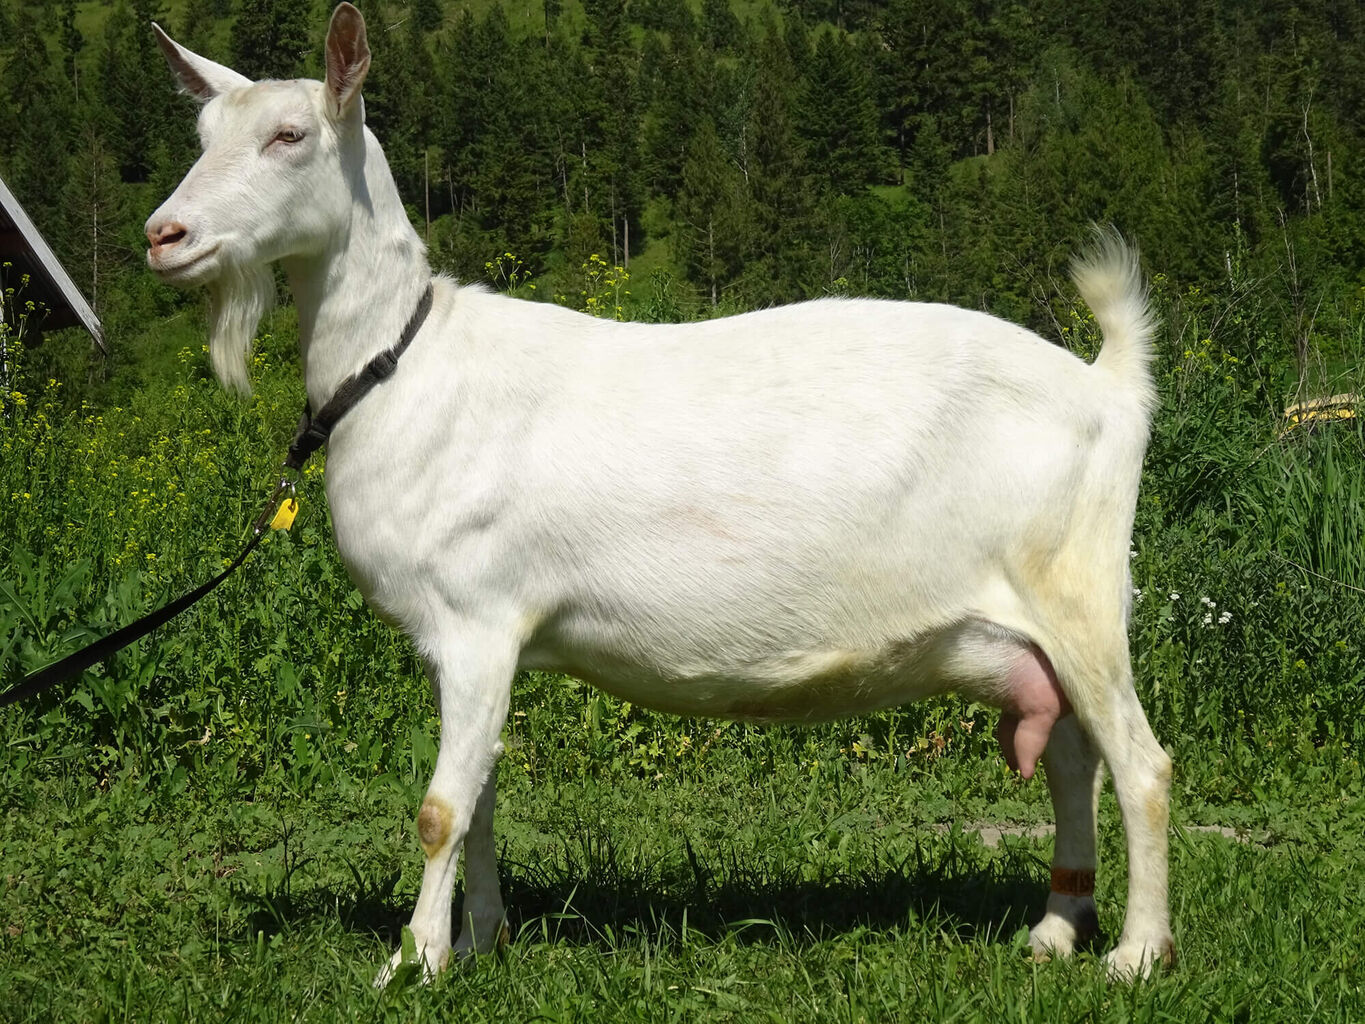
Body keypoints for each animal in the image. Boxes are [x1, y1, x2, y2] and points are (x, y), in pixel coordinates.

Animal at [145, 3, 1174, 984]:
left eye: (289, 135)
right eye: (201, 132)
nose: (163, 236)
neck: (403, 362)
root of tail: (1109, 386)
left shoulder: (476, 619)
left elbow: (439, 809)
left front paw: (410, 965)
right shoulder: (467, 641)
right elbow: (478, 799)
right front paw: (479, 944)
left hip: (1077, 592)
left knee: (1140, 765)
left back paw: (1135, 955)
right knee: (1073, 759)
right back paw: (1054, 930)